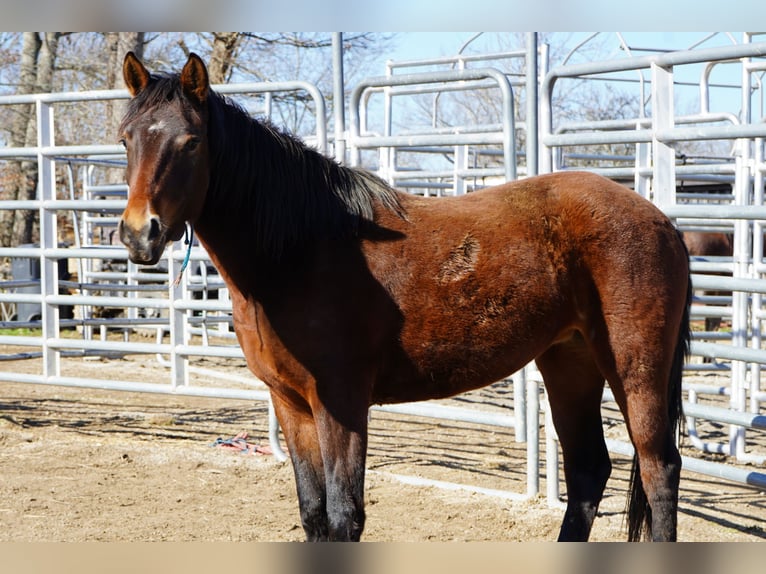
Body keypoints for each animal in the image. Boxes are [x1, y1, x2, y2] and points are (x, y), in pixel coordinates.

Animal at [117, 51, 692, 544]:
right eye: (125, 140)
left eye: (191, 142)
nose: (139, 234)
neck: (301, 249)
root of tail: (661, 221)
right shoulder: (292, 404)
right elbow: (313, 513)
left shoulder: (341, 403)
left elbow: (344, 515)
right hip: (569, 360)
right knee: (589, 469)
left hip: (634, 367)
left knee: (658, 467)